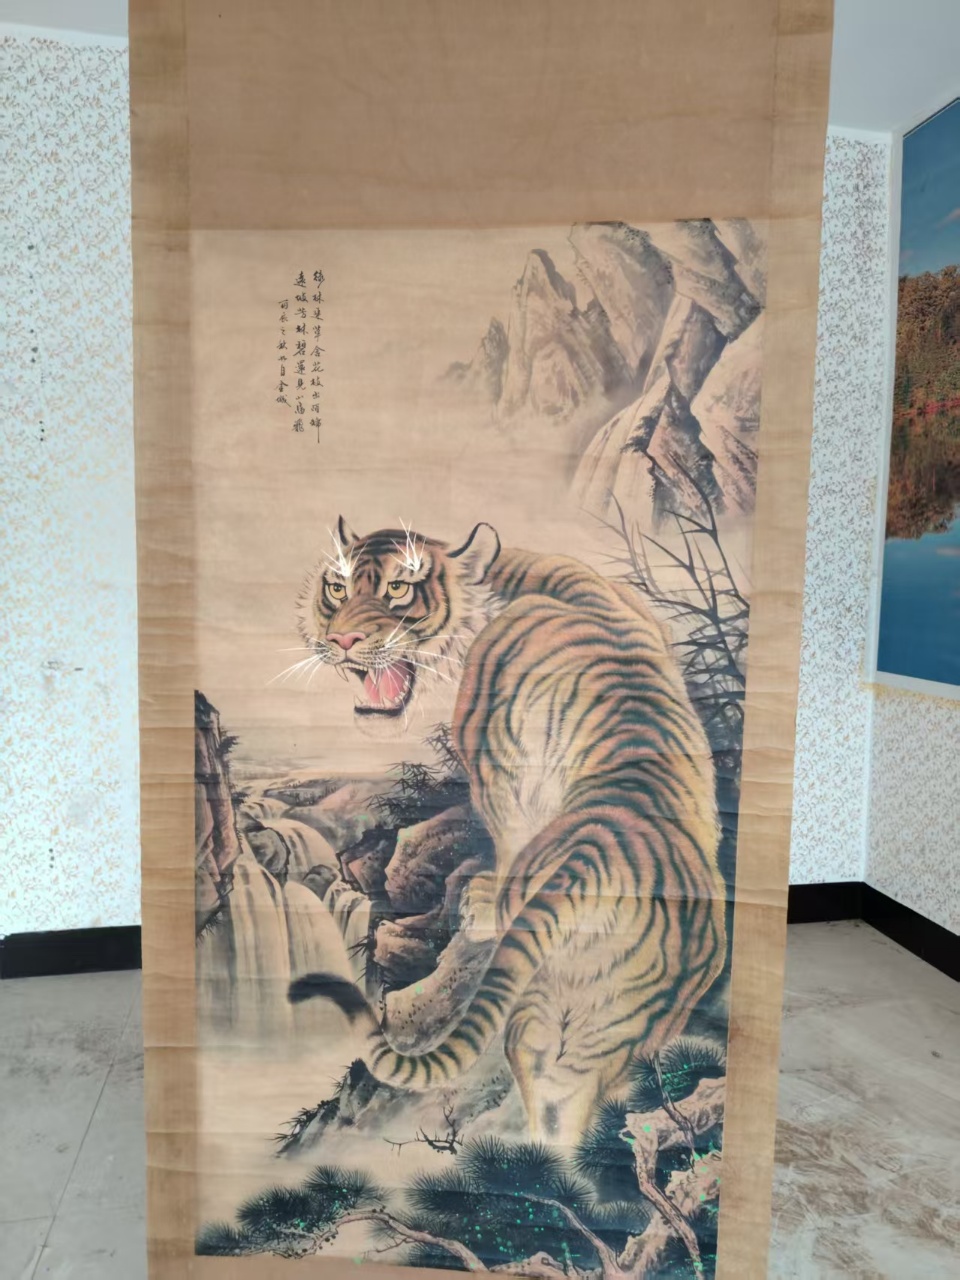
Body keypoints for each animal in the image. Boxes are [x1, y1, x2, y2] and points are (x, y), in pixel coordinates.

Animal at [289, 517, 726, 1146]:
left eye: (398, 588)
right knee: (563, 1104)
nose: (343, 640)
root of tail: (599, 854)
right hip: (605, 1023)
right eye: (338, 588)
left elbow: (505, 832)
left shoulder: (497, 767)